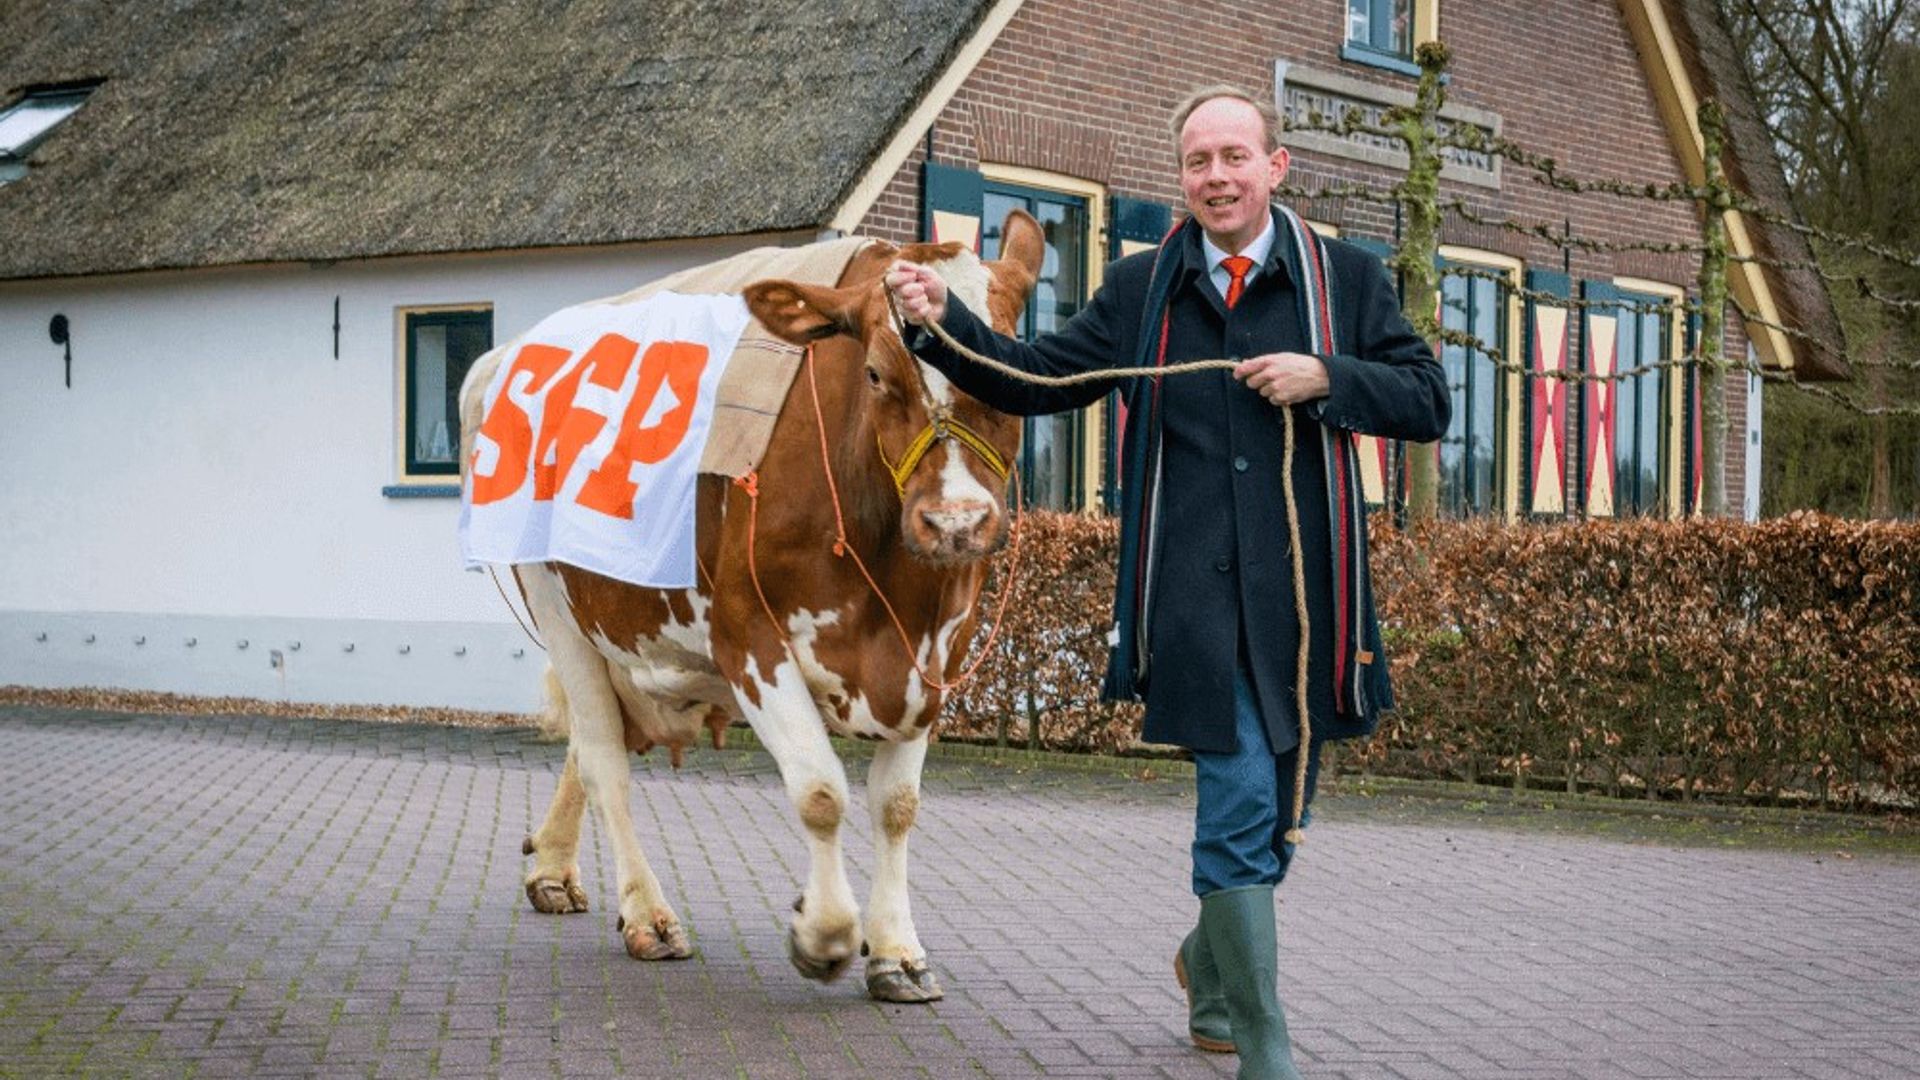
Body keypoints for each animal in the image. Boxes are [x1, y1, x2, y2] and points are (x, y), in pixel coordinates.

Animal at [456, 210, 1044, 999]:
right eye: (875, 372)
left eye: (1010, 372)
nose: (956, 523)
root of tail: (506, 359)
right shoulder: (748, 638)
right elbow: (822, 792)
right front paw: (824, 935)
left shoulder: (936, 661)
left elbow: (897, 806)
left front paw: (896, 950)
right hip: (560, 609)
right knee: (604, 760)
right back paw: (649, 915)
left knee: (588, 745)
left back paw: (551, 867)